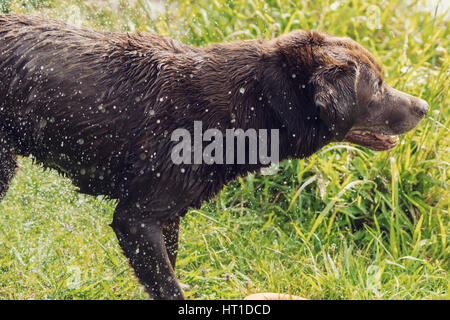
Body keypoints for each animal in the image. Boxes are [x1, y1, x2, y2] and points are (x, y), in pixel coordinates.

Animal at [0, 14, 428, 300]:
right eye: (378, 85)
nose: (424, 106)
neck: (255, 102)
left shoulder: (167, 215)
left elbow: (169, 267)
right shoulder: (136, 218)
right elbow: (167, 285)